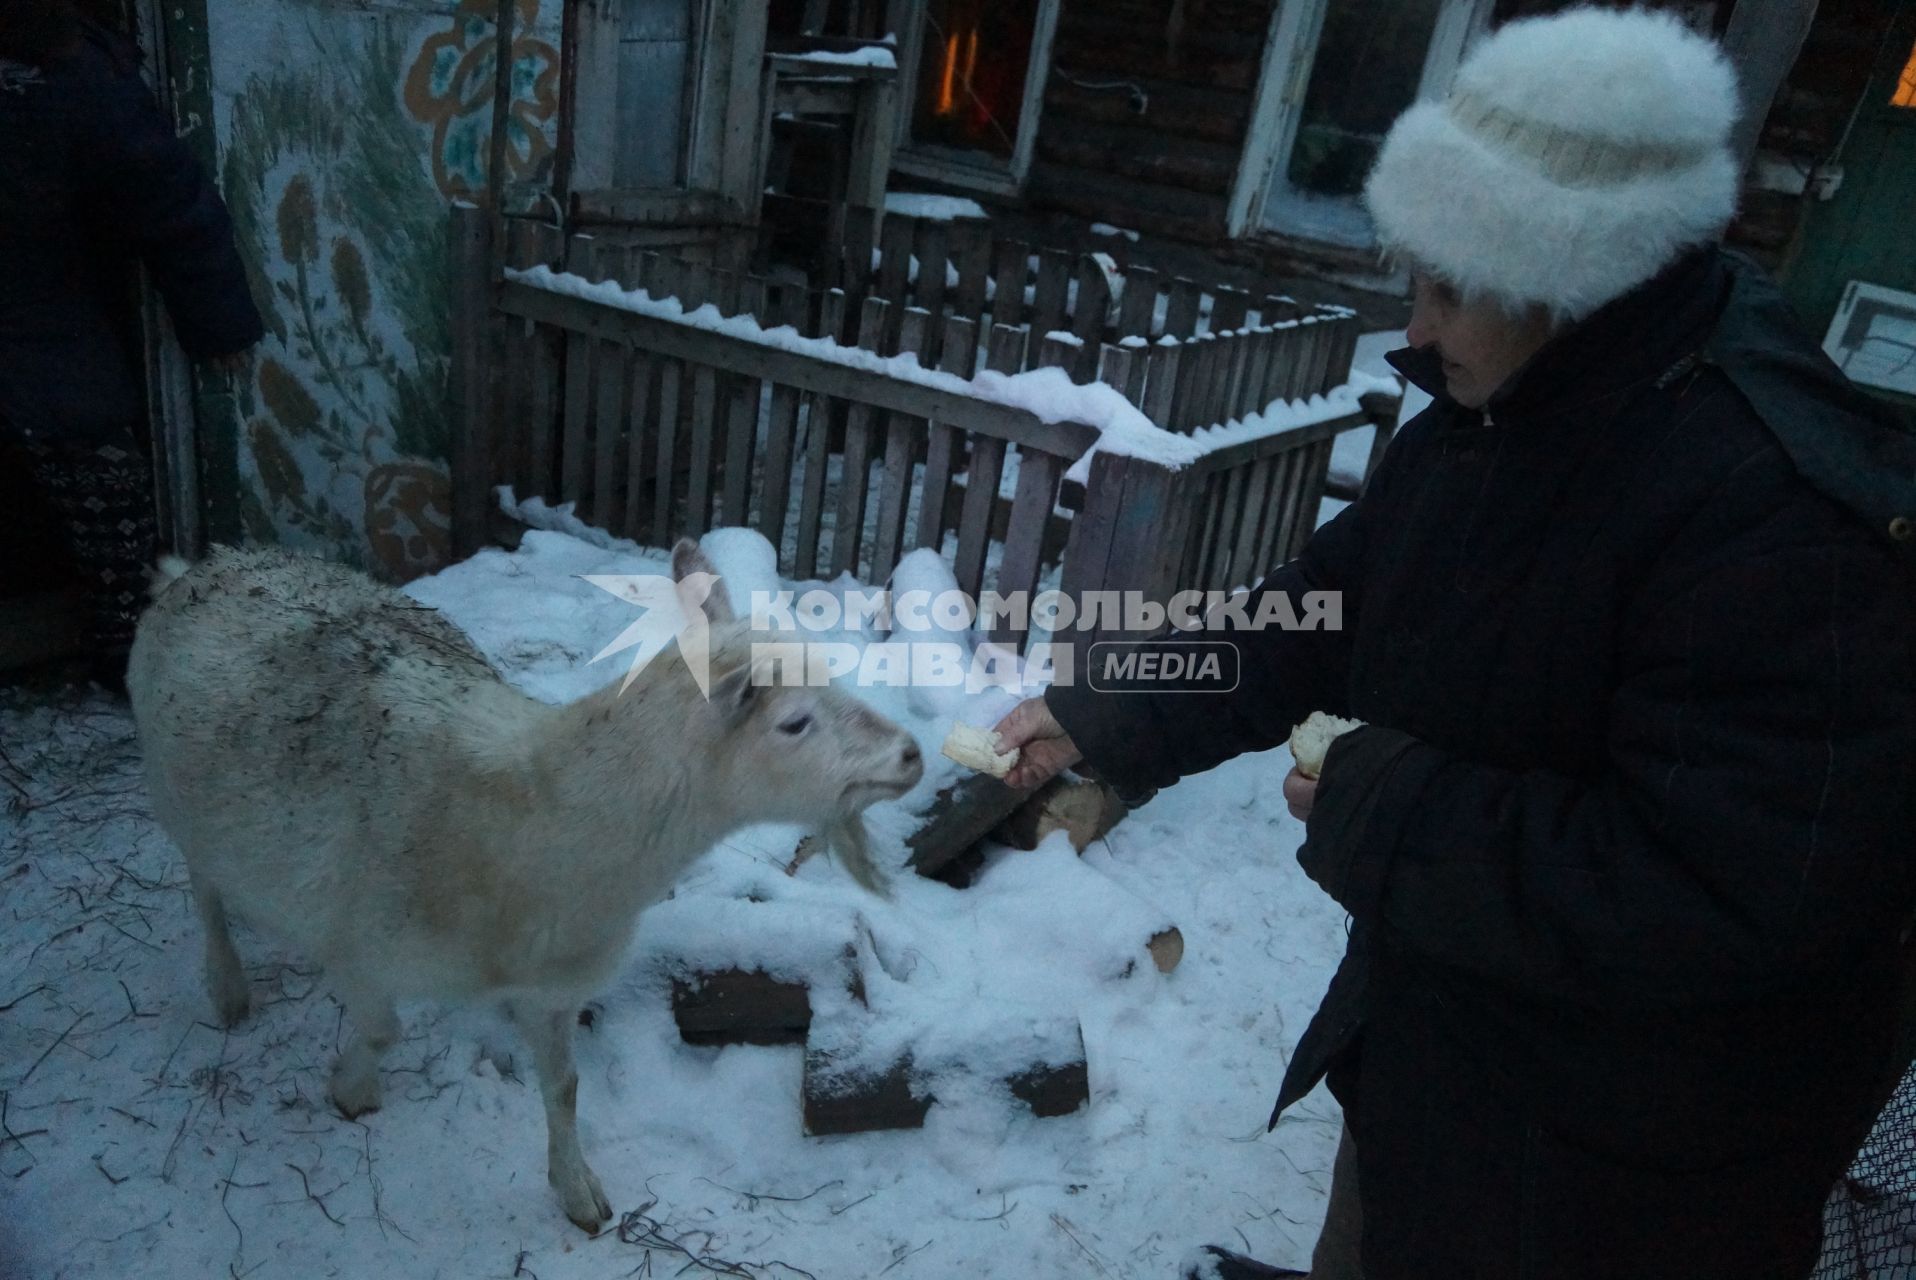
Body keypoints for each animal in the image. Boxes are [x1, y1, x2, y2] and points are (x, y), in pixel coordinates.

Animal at [127, 540, 919, 1226]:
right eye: (795, 723)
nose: (911, 753)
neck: (533, 817)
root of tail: (211, 560)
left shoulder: (554, 983)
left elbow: (565, 1089)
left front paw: (577, 1191)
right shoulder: (359, 944)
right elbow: (382, 1030)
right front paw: (350, 1090)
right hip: (175, 796)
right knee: (205, 888)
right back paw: (228, 987)